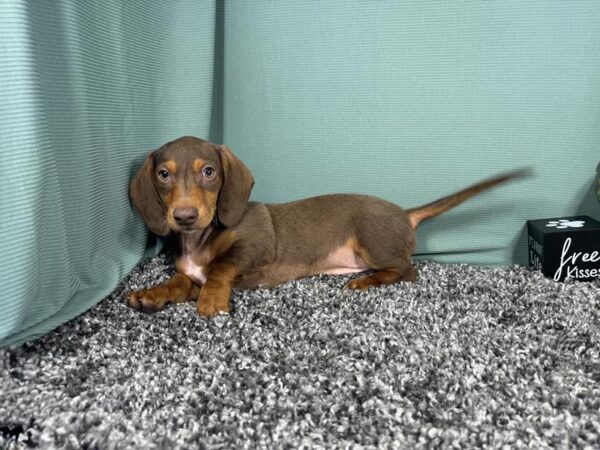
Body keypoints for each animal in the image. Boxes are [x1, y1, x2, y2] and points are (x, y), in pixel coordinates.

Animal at [127, 136, 527, 316]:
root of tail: (404, 213)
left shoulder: (256, 247)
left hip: (372, 239)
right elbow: (181, 280)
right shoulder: (188, 269)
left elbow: (220, 268)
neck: (202, 237)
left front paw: (211, 298)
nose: (184, 216)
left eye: (209, 172)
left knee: (407, 270)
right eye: (163, 175)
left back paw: (366, 281)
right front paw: (153, 293)